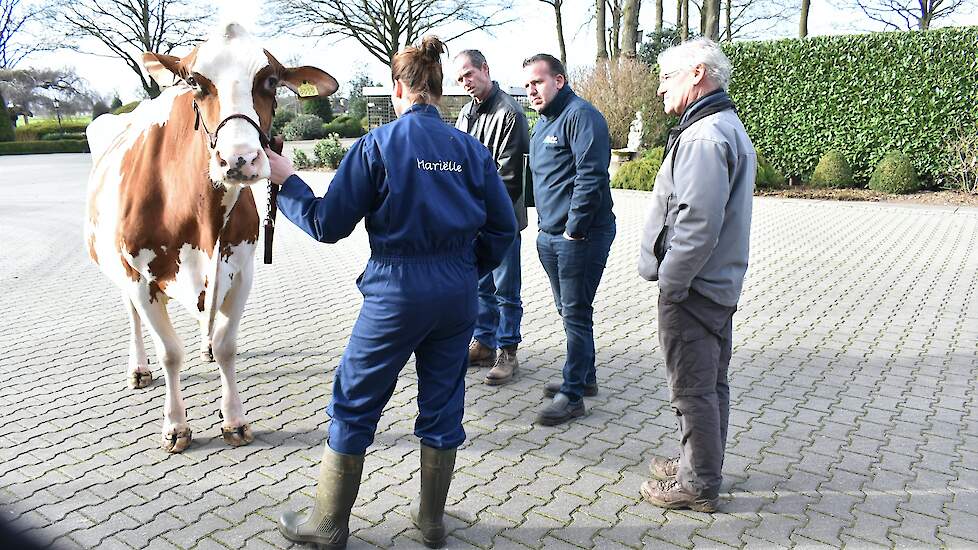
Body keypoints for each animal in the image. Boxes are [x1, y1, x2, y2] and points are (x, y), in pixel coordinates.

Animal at [87, 22, 340, 452]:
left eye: (270, 80)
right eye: (195, 82)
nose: (239, 158)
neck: (200, 219)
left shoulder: (241, 269)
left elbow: (226, 345)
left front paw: (234, 419)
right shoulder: (139, 276)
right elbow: (169, 352)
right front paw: (175, 426)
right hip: (117, 268)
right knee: (132, 315)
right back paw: (138, 368)